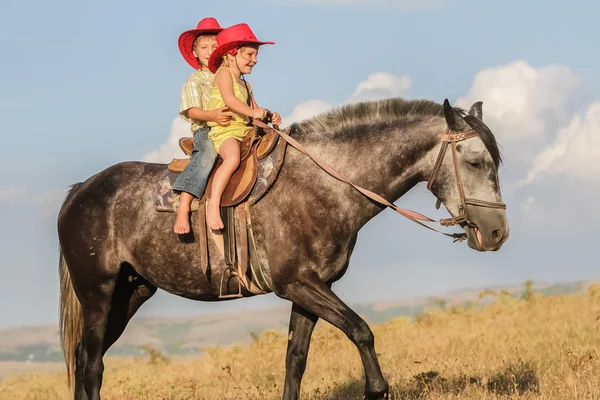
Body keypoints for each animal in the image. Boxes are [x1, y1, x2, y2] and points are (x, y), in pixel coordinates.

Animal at [57, 97, 506, 400]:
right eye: (476, 162)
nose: (498, 232)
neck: (326, 186)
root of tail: (79, 192)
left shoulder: (310, 290)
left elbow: (295, 360)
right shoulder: (298, 283)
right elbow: (361, 330)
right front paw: (377, 389)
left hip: (131, 292)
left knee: (85, 359)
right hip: (98, 294)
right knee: (91, 364)